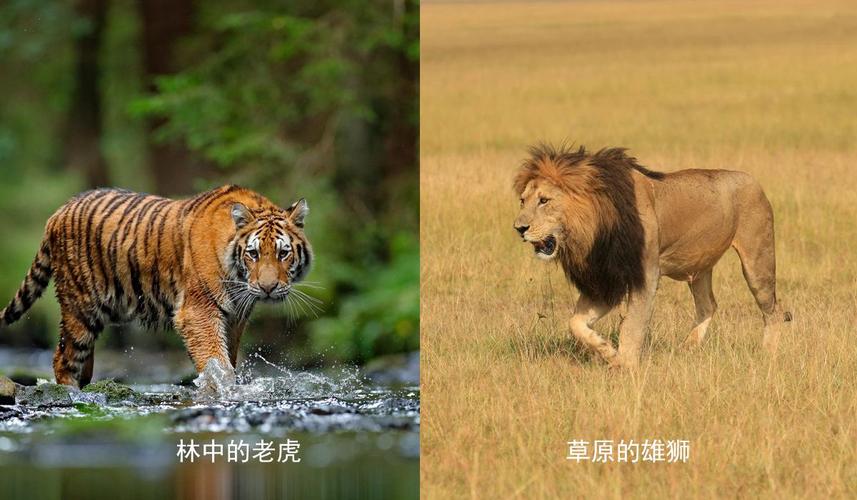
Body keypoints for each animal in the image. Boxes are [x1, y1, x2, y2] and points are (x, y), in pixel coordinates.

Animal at [0, 185, 312, 388]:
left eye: (283, 253)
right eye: (254, 253)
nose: (268, 287)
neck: (238, 277)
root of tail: (58, 212)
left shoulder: (235, 316)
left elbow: (229, 356)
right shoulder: (198, 311)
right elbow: (216, 360)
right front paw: (223, 389)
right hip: (80, 307)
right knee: (63, 358)